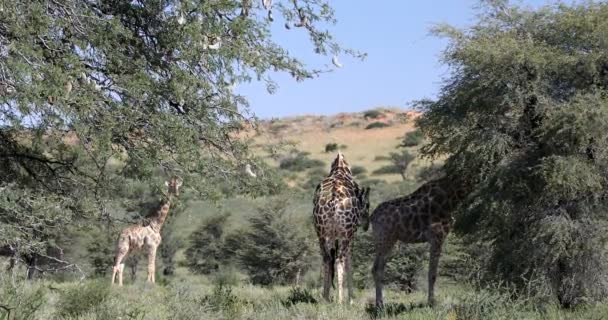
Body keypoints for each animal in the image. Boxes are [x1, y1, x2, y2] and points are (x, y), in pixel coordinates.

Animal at [314, 152, 370, 302]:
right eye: (367, 205)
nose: (366, 225)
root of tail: (333, 199)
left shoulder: (332, 235)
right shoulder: (351, 234)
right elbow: (349, 260)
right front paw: (351, 299)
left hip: (321, 232)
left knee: (327, 259)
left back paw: (325, 297)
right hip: (345, 233)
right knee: (340, 259)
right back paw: (340, 300)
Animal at [370, 176, 470, 306]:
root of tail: (372, 217)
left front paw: (431, 301)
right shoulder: (437, 236)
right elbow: (432, 273)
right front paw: (431, 302)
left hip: (387, 241)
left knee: (378, 268)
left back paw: (380, 304)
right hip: (385, 240)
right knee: (377, 269)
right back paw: (380, 305)